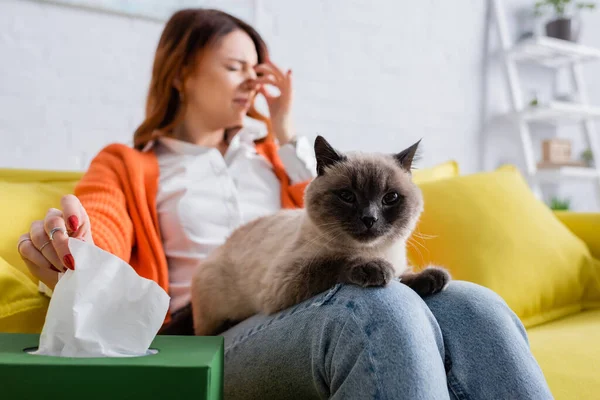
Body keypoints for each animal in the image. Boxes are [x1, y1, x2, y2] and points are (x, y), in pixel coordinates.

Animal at [191, 136, 450, 336]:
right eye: (347, 196)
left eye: (390, 198)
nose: (370, 218)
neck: (373, 250)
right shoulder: (285, 281)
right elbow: (333, 263)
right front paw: (374, 268)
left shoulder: (398, 264)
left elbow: (402, 275)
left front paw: (431, 277)